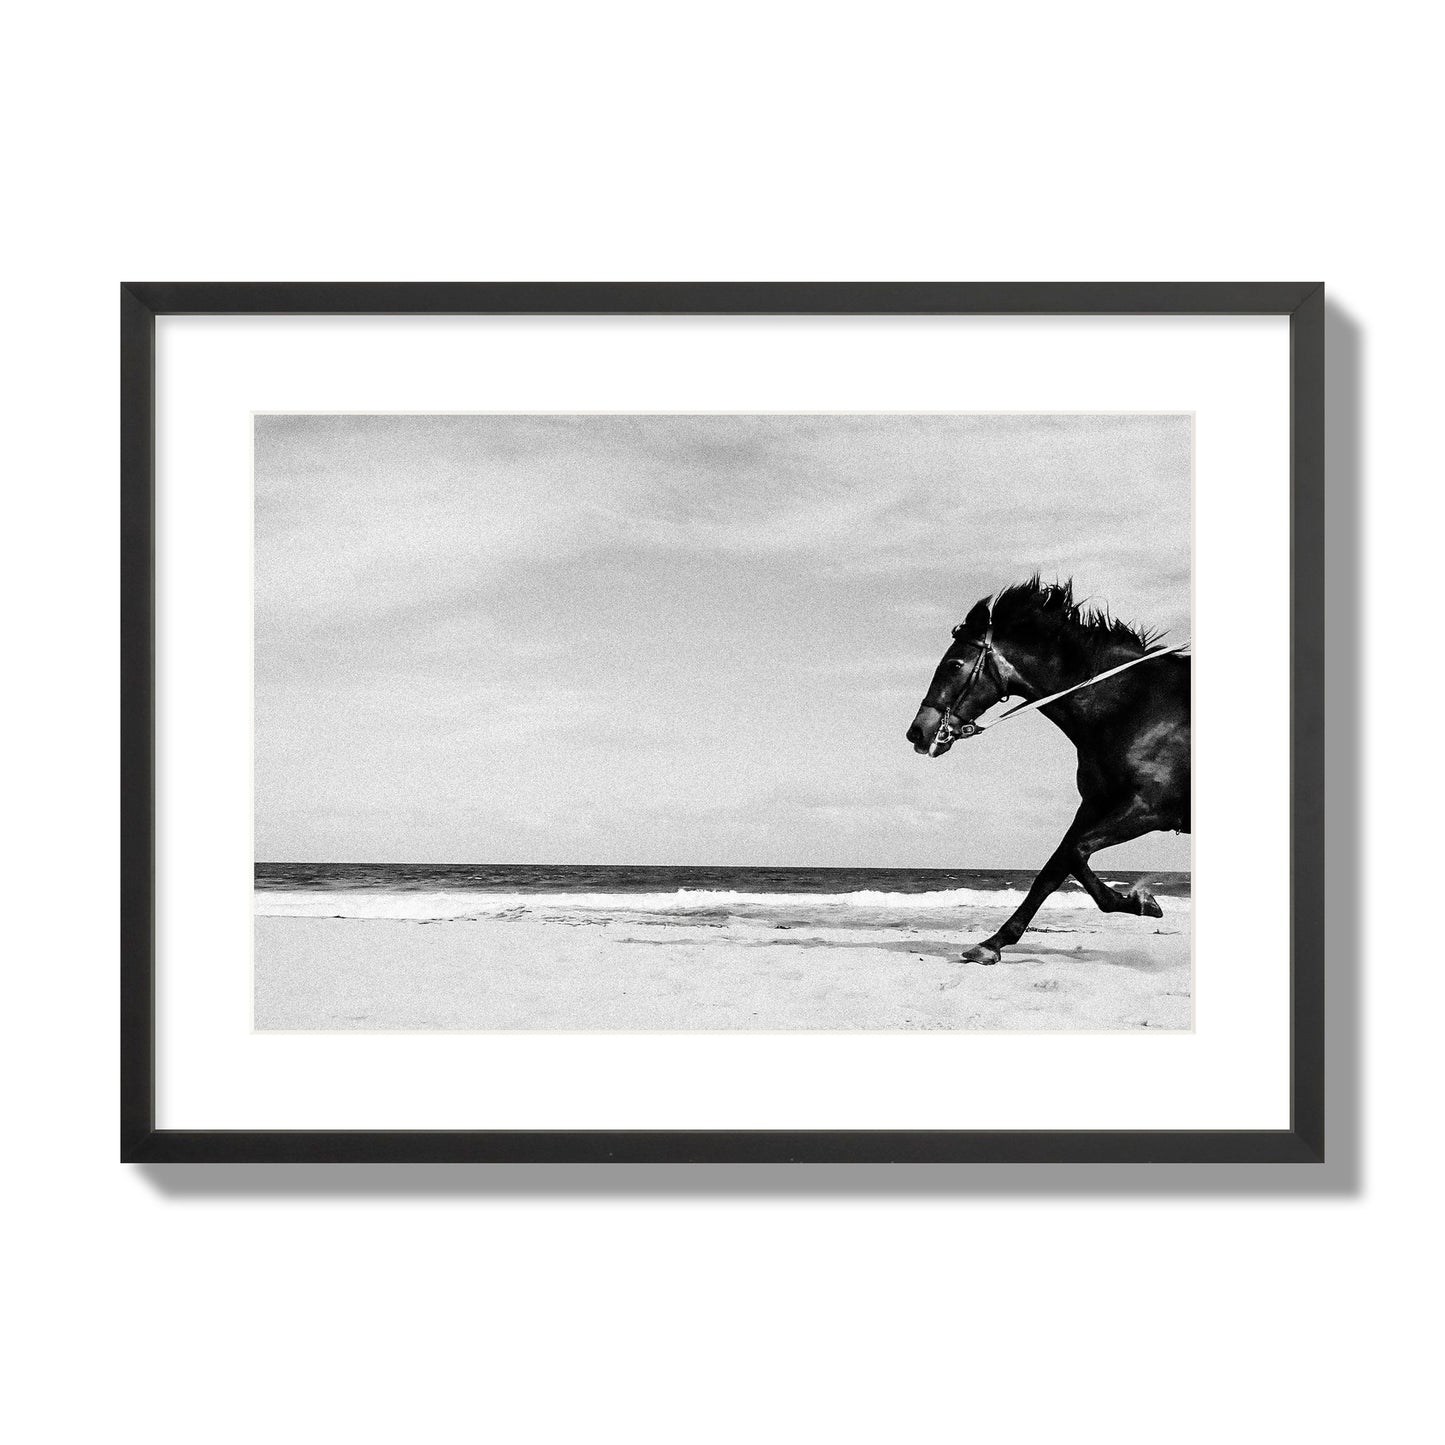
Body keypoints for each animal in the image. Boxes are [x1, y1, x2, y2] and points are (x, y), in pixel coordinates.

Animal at [905, 577, 1190, 964]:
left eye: (954, 664)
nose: (918, 732)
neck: (1133, 706)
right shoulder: (1096, 805)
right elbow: (1055, 867)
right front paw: (992, 942)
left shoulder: (1149, 808)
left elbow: (1074, 854)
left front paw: (1141, 900)